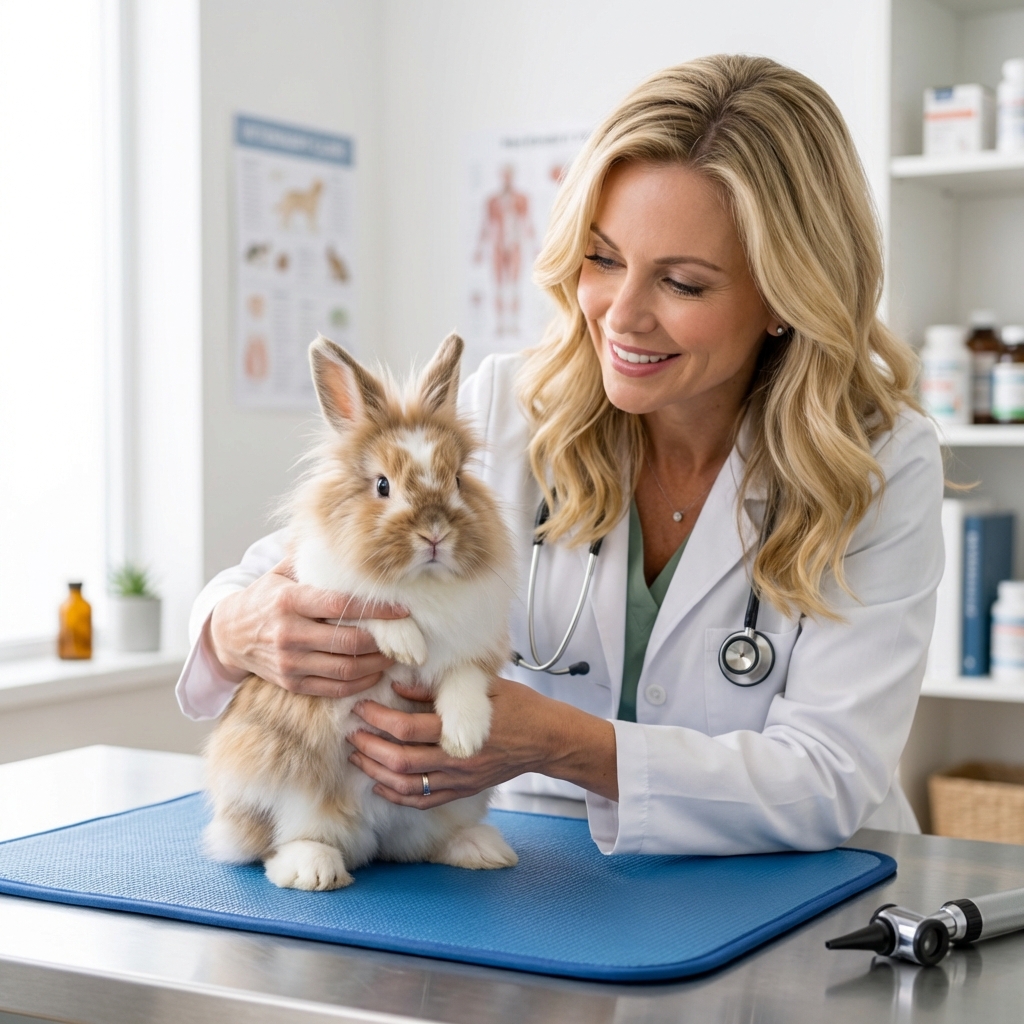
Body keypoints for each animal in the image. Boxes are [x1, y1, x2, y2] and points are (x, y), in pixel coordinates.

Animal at [202, 332, 518, 891]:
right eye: (383, 486)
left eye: (459, 480)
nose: (434, 534)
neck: (421, 586)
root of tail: (374, 835)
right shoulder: (323, 589)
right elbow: (363, 603)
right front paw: (406, 643)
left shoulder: (473, 646)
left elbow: (462, 679)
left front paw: (464, 739)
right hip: (280, 774)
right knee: (281, 845)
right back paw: (313, 868)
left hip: (452, 806)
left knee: (427, 844)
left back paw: (480, 849)